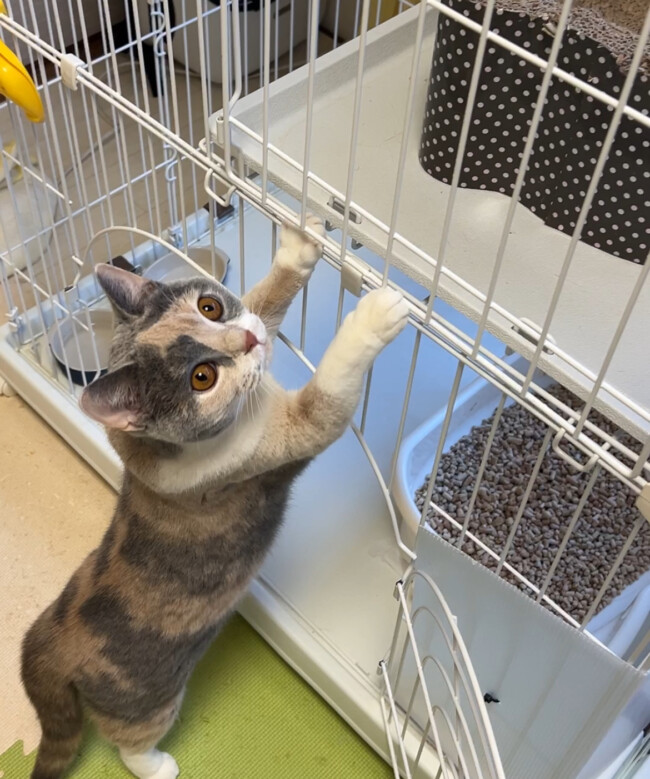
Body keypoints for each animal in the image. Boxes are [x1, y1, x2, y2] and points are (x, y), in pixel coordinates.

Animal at [21, 215, 409, 779]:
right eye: (202, 377)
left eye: (211, 307)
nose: (245, 340)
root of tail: (47, 643)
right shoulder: (286, 438)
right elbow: (328, 393)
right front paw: (372, 319)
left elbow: (264, 302)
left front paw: (297, 246)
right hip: (146, 701)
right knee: (129, 741)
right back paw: (158, 764)